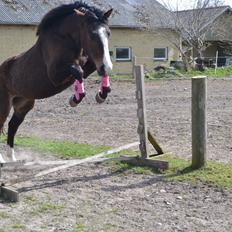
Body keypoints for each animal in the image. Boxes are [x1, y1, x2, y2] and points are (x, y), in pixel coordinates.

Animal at [0, 0, 113, 162]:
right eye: (92, 35)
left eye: (108, 33)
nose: (108, 67)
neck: (65, 38)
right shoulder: (54, 76)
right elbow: (78, 71)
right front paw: (75, 99)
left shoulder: (88, 63)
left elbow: (89, 68)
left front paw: (101, 94)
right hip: (4, 105)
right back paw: (3, 160)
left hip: (23, 104)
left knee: (12, 126)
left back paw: (12, 158)